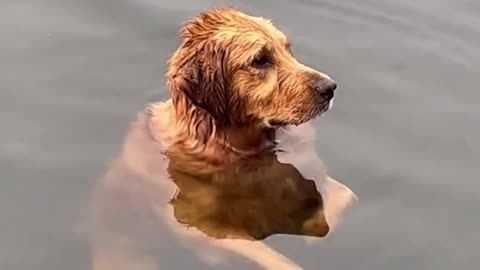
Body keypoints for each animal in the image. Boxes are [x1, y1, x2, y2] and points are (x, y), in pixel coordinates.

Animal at [89, 7, 356, 268]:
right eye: (260, 60)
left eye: (287, 49)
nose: (329, 88)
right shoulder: (199, 223)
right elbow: (278, 259)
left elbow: (345, 194)